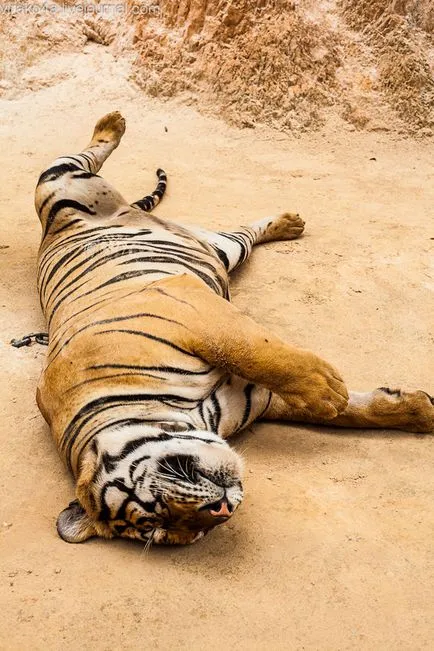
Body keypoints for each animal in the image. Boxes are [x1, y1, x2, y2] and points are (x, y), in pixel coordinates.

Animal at [34, 111, 434, 544]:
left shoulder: (188, 307)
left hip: (60, 186)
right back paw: (289, 224)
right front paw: (417, 410)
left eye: (150, 506)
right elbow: (349, 412)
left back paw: (113, 122)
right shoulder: (258, 397)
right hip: (223, 249)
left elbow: (255, 349)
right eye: (164, 528)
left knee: (79, 157)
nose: (221, 511)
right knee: (243, 234)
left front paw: (328, 389)